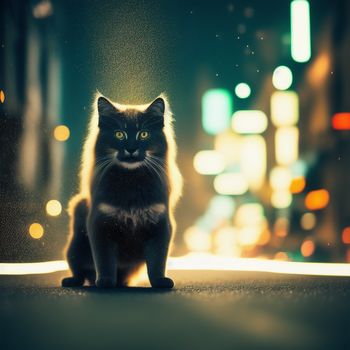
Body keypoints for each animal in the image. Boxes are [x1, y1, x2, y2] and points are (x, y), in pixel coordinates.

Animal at [61, 94, 183, 288]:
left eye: (143, 134)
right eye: (119, 134)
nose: (131, 149)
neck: (131, 180)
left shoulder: (161, 225)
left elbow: (157, 261)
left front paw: (160, 282)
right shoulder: (100, 224)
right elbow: (105, 260)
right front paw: (105, 282)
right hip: (74, 247)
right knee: (78, 271)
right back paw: (73, 281)